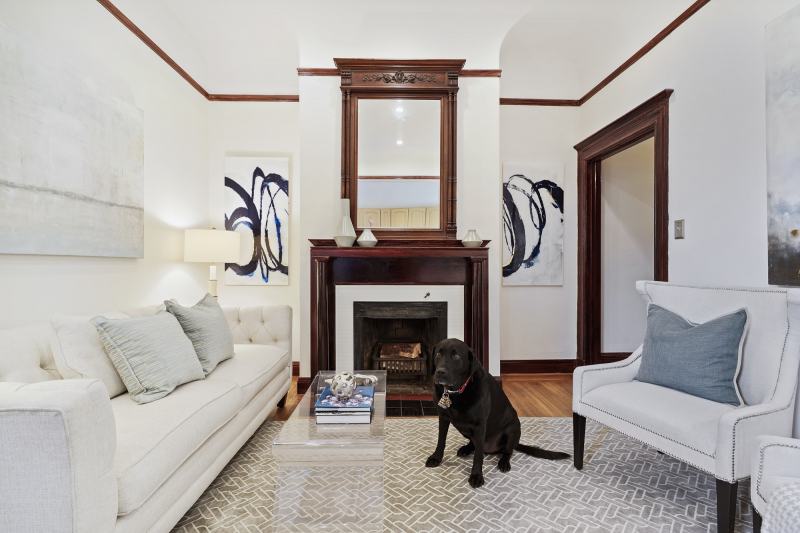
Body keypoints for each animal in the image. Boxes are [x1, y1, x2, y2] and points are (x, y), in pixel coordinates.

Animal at [424, 338, 568, 484]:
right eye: (438, 354)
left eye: (456, 356)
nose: (440, 372)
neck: (457, 392)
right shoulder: (443, 418)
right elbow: (441, 441)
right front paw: (436, 458)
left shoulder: (480, 425)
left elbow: (478, 456)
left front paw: (476, 476)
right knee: (474, 444)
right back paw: (466, 449)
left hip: (514, 427)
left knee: (507, 451)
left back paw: (504, 463)